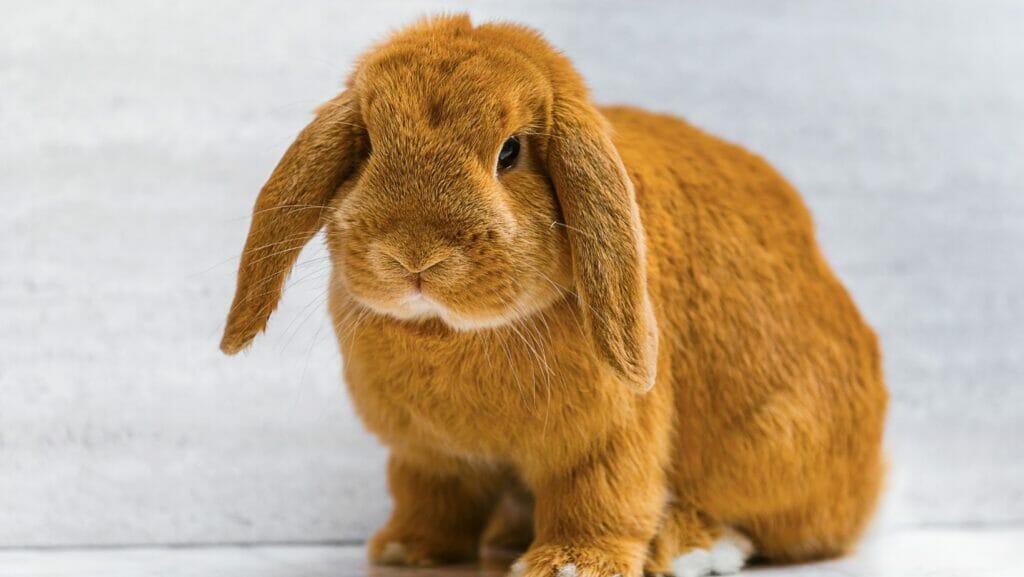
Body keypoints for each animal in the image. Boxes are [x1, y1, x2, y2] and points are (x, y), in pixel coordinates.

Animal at [220, 14, 888, 577]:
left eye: (510, 151)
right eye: (368, 146)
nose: (413, 256)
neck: (451, 332)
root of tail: (872, 479)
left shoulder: (608, 437)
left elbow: (599, 497)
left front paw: (570, 564)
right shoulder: (428, 456)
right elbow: (430, 498)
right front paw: (408, 550)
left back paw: (692, 546)